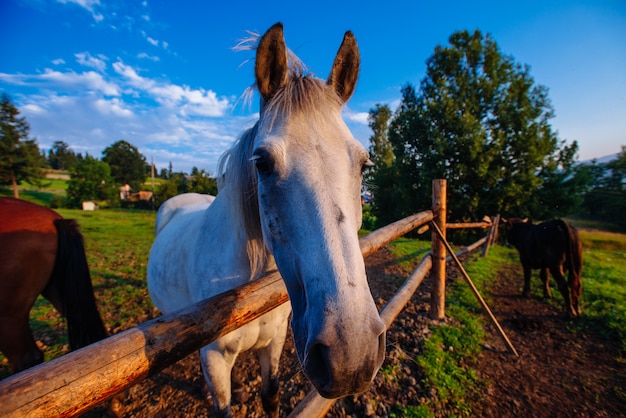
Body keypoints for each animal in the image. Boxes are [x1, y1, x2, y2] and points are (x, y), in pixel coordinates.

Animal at [147, 23, 386, 418]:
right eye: (261, 163)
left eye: (364, 164)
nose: (351, 354)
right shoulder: (214, 358)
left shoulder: (273, 343)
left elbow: (270, 394)